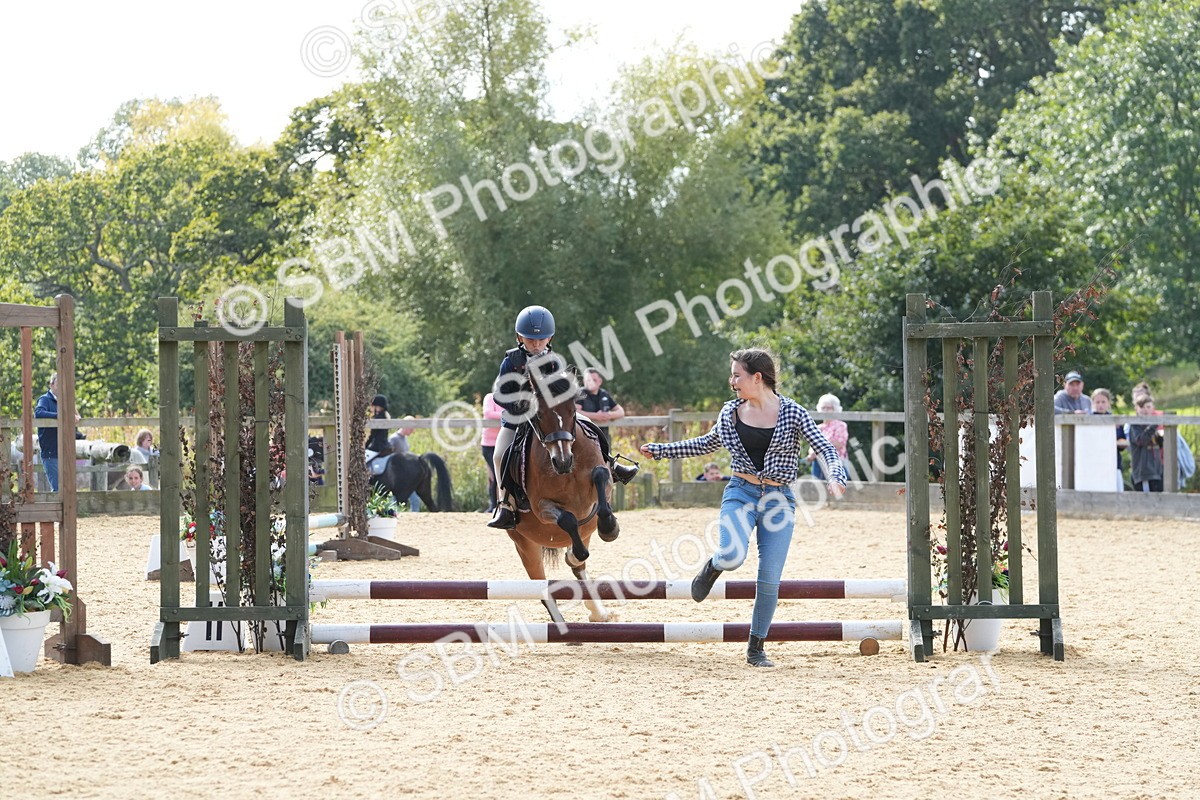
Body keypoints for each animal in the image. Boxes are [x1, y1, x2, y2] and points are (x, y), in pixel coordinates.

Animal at [508, 382, 621, 623]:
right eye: (540, 414)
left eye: (571, 410)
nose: (562, 461)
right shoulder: (541, 506)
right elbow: (568, 519)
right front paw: (575, 551)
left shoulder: (602, 480)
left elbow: (600, 477)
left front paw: (609, 528)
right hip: (525, 545)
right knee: (542, 586)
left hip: (585, 532)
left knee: (579, 569)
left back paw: (598, 612)